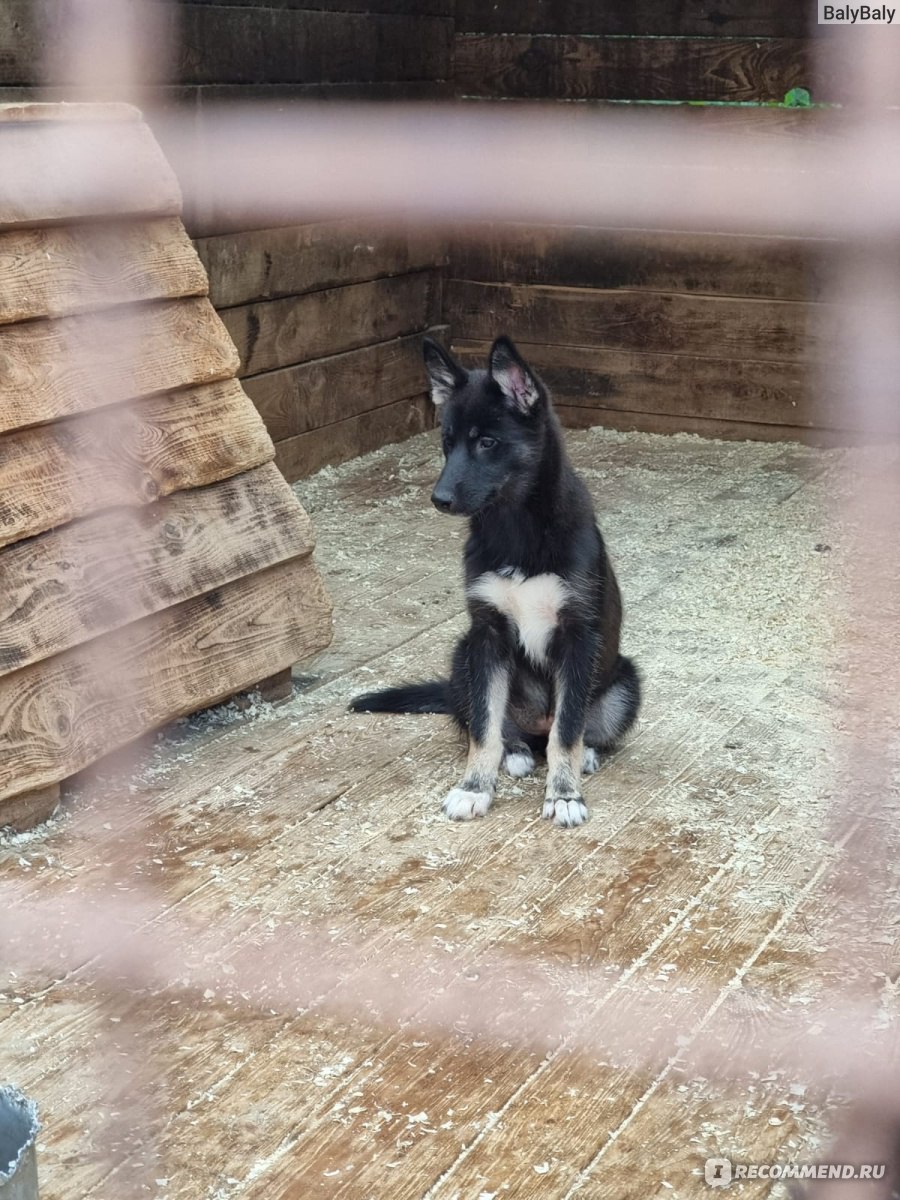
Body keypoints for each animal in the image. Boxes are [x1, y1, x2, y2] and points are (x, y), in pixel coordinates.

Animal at [352, 338, 643, 825]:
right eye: (447, 444)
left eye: (487, 442)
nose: (439, 499)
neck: (516, 528)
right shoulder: (486, 635)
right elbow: (483, 730)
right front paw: (474, 788)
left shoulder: (577, 636)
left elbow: (568, 730)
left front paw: (564, 794)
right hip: (462, 658)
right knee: (501, 728)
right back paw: (517, 751)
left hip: (625, 682)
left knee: (573, 730)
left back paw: (580, 755)